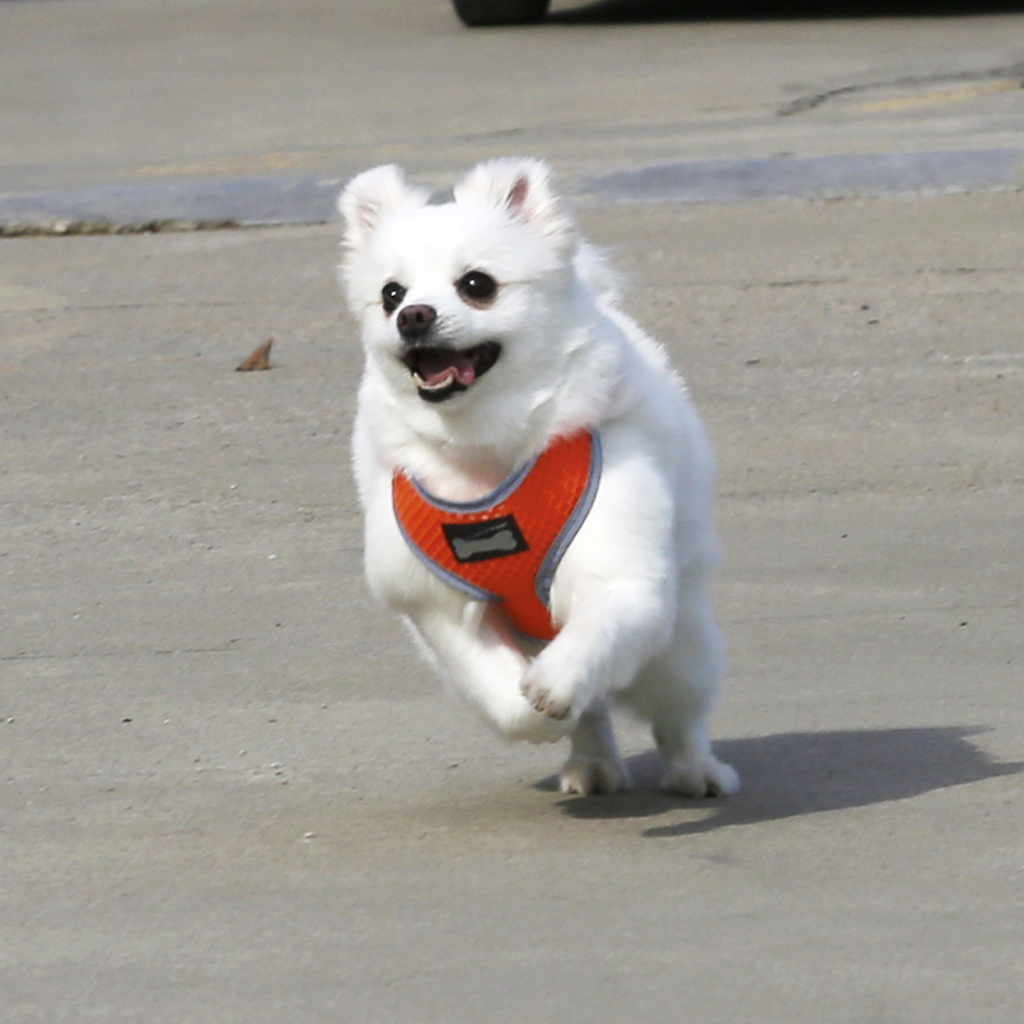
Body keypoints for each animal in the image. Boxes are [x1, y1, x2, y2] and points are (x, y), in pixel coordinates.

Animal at [339, 157, 741, 798]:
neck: (484, 458)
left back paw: (697, 772)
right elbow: (497, 688)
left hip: (681, 651)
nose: (414, 316)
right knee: (597, 716)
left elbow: (594, 634)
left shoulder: (624, 578)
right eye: (390, 294)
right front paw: (535, 715)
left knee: (679, 715)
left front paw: (555, 684)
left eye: (477, 285)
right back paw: (591, 764)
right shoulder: (441, 606)